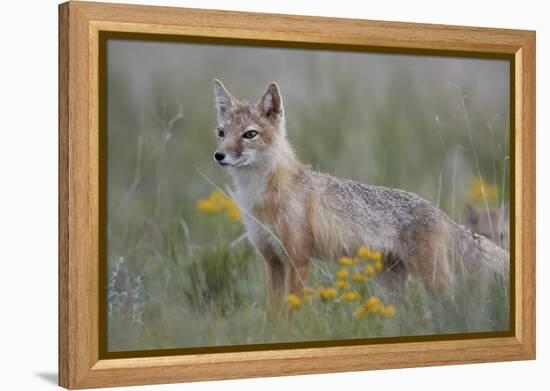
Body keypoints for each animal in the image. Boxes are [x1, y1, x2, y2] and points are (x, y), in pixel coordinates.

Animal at [210, 79, 508, 300]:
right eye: (221, 133)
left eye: (250, 134)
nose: (219, 155)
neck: (259, 195)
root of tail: (439, 213)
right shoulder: (272, 261)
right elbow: (273, 317)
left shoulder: (298, 259)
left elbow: (293, 311)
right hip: (390, 285)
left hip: (433, 282)